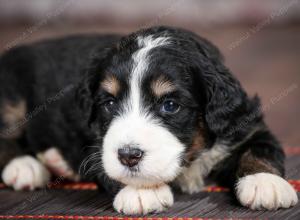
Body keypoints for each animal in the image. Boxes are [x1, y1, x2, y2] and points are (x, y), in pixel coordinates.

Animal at [0, 25, 298, 213]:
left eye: (170, 105)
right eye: (109, 103)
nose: (129, 156)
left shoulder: (244, 123)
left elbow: (260, 149)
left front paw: (265, 183)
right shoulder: (95, 138)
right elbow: (104, 162)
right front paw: (142, 190)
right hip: (10, 91)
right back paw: (25, 166)